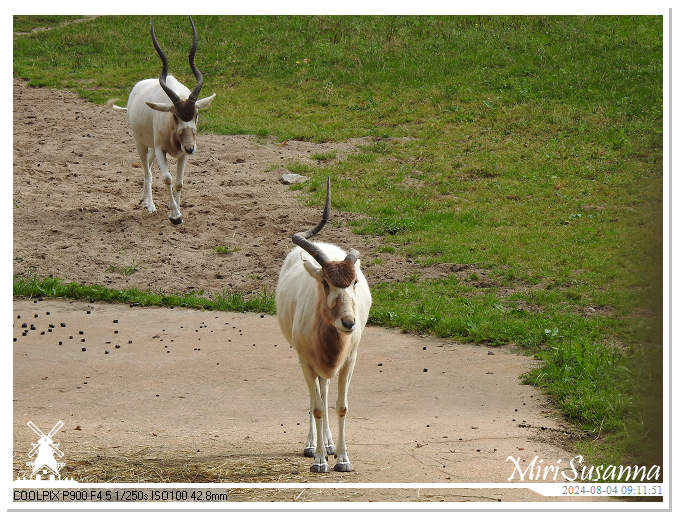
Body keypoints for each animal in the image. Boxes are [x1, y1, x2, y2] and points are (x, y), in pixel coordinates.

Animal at [114, 15, 215, 223]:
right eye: (175, 116)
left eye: (196, 115)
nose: (191, 147)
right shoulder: (161, 149)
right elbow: (167, 178)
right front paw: (175, 215)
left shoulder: (182, 155)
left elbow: (179, 182)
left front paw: (178, 212)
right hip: (141, 144)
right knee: (147, 170)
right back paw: (150, 205)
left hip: (152, 147)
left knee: (150, 167)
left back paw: (144, 200)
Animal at [274, 178, 372, 472]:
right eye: (325, 283)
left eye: (354, 281)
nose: (349, 323)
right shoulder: (306, 360)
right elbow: (316, 406)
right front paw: (319, 461)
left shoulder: (349, 360)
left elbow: (341, 406)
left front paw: (342, 459)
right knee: (315, 396)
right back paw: (313, 446)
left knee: (325, 389)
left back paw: (329, 445)